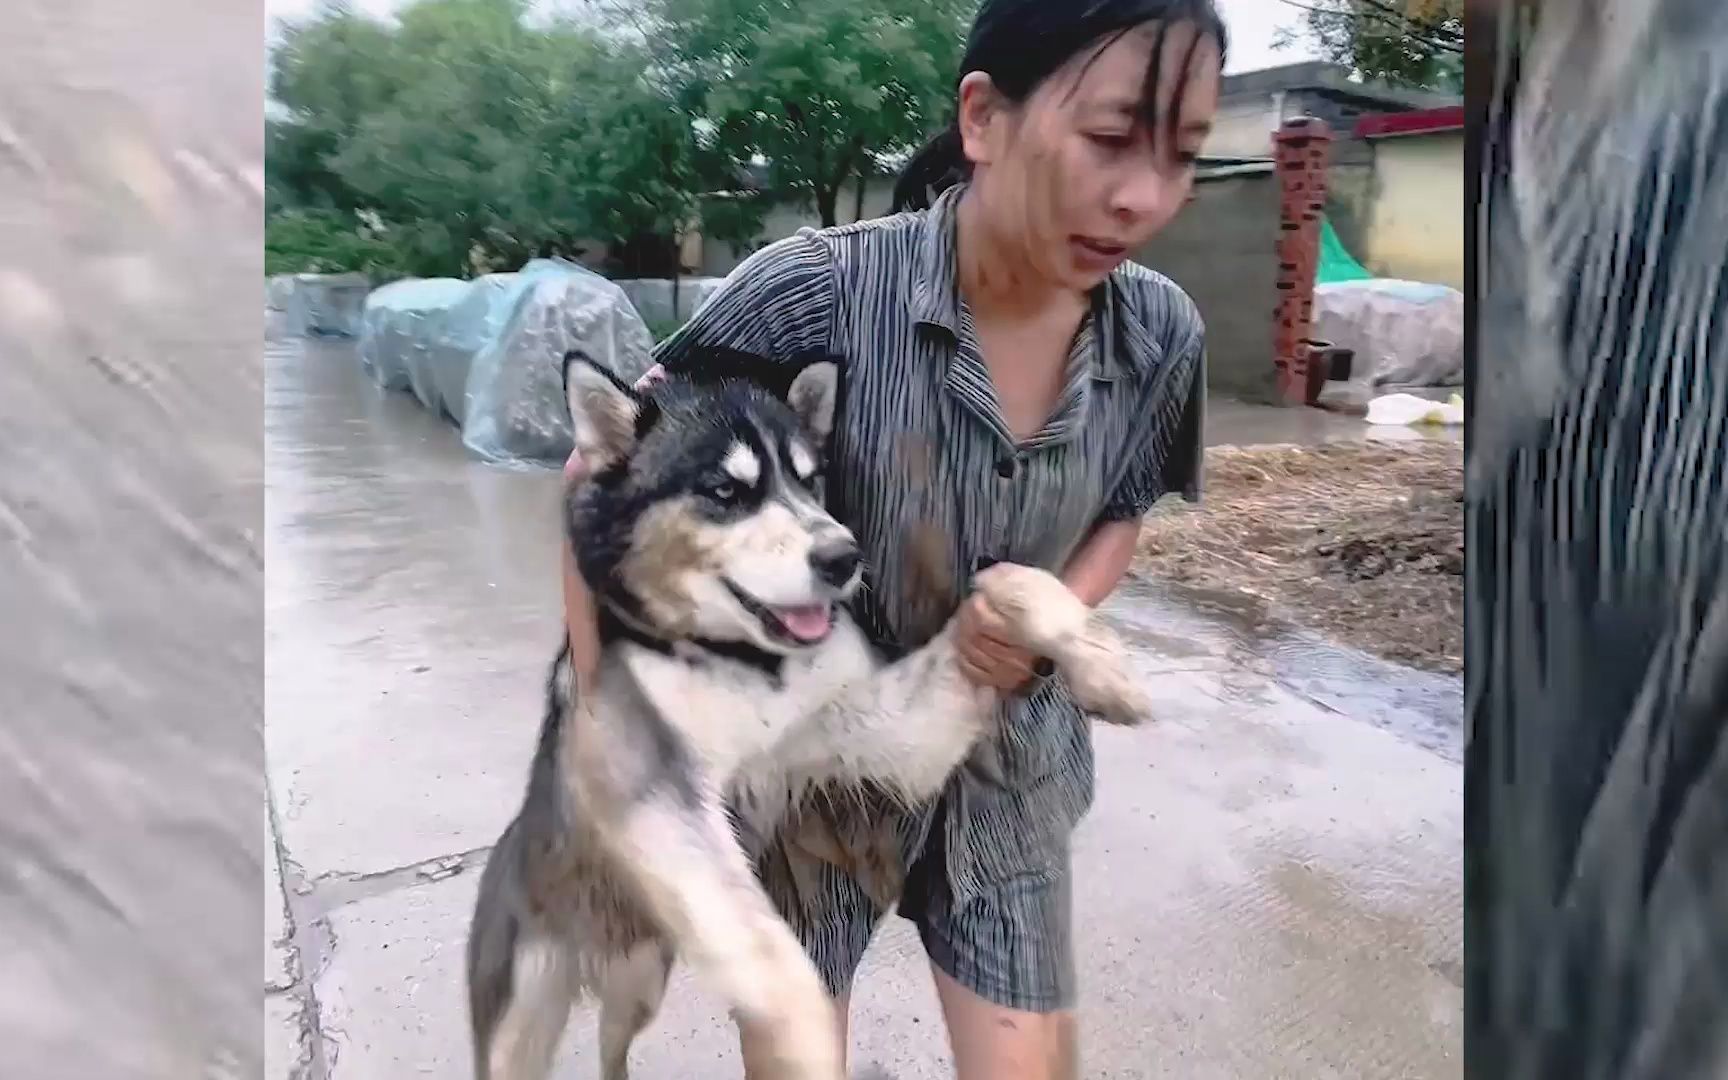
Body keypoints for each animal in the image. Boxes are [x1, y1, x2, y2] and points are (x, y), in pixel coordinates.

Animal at [466, 347, 1154, 1078]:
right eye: (724, 491)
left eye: (808, 478)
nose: (844, 557)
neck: (746, 664)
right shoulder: (650, 792)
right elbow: (774, 958)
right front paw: (809, 1044)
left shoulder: (886, 731)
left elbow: (1007, 584)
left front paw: (1100, 661)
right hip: (523, 1014)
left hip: (640, 979)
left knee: (611, 1047)